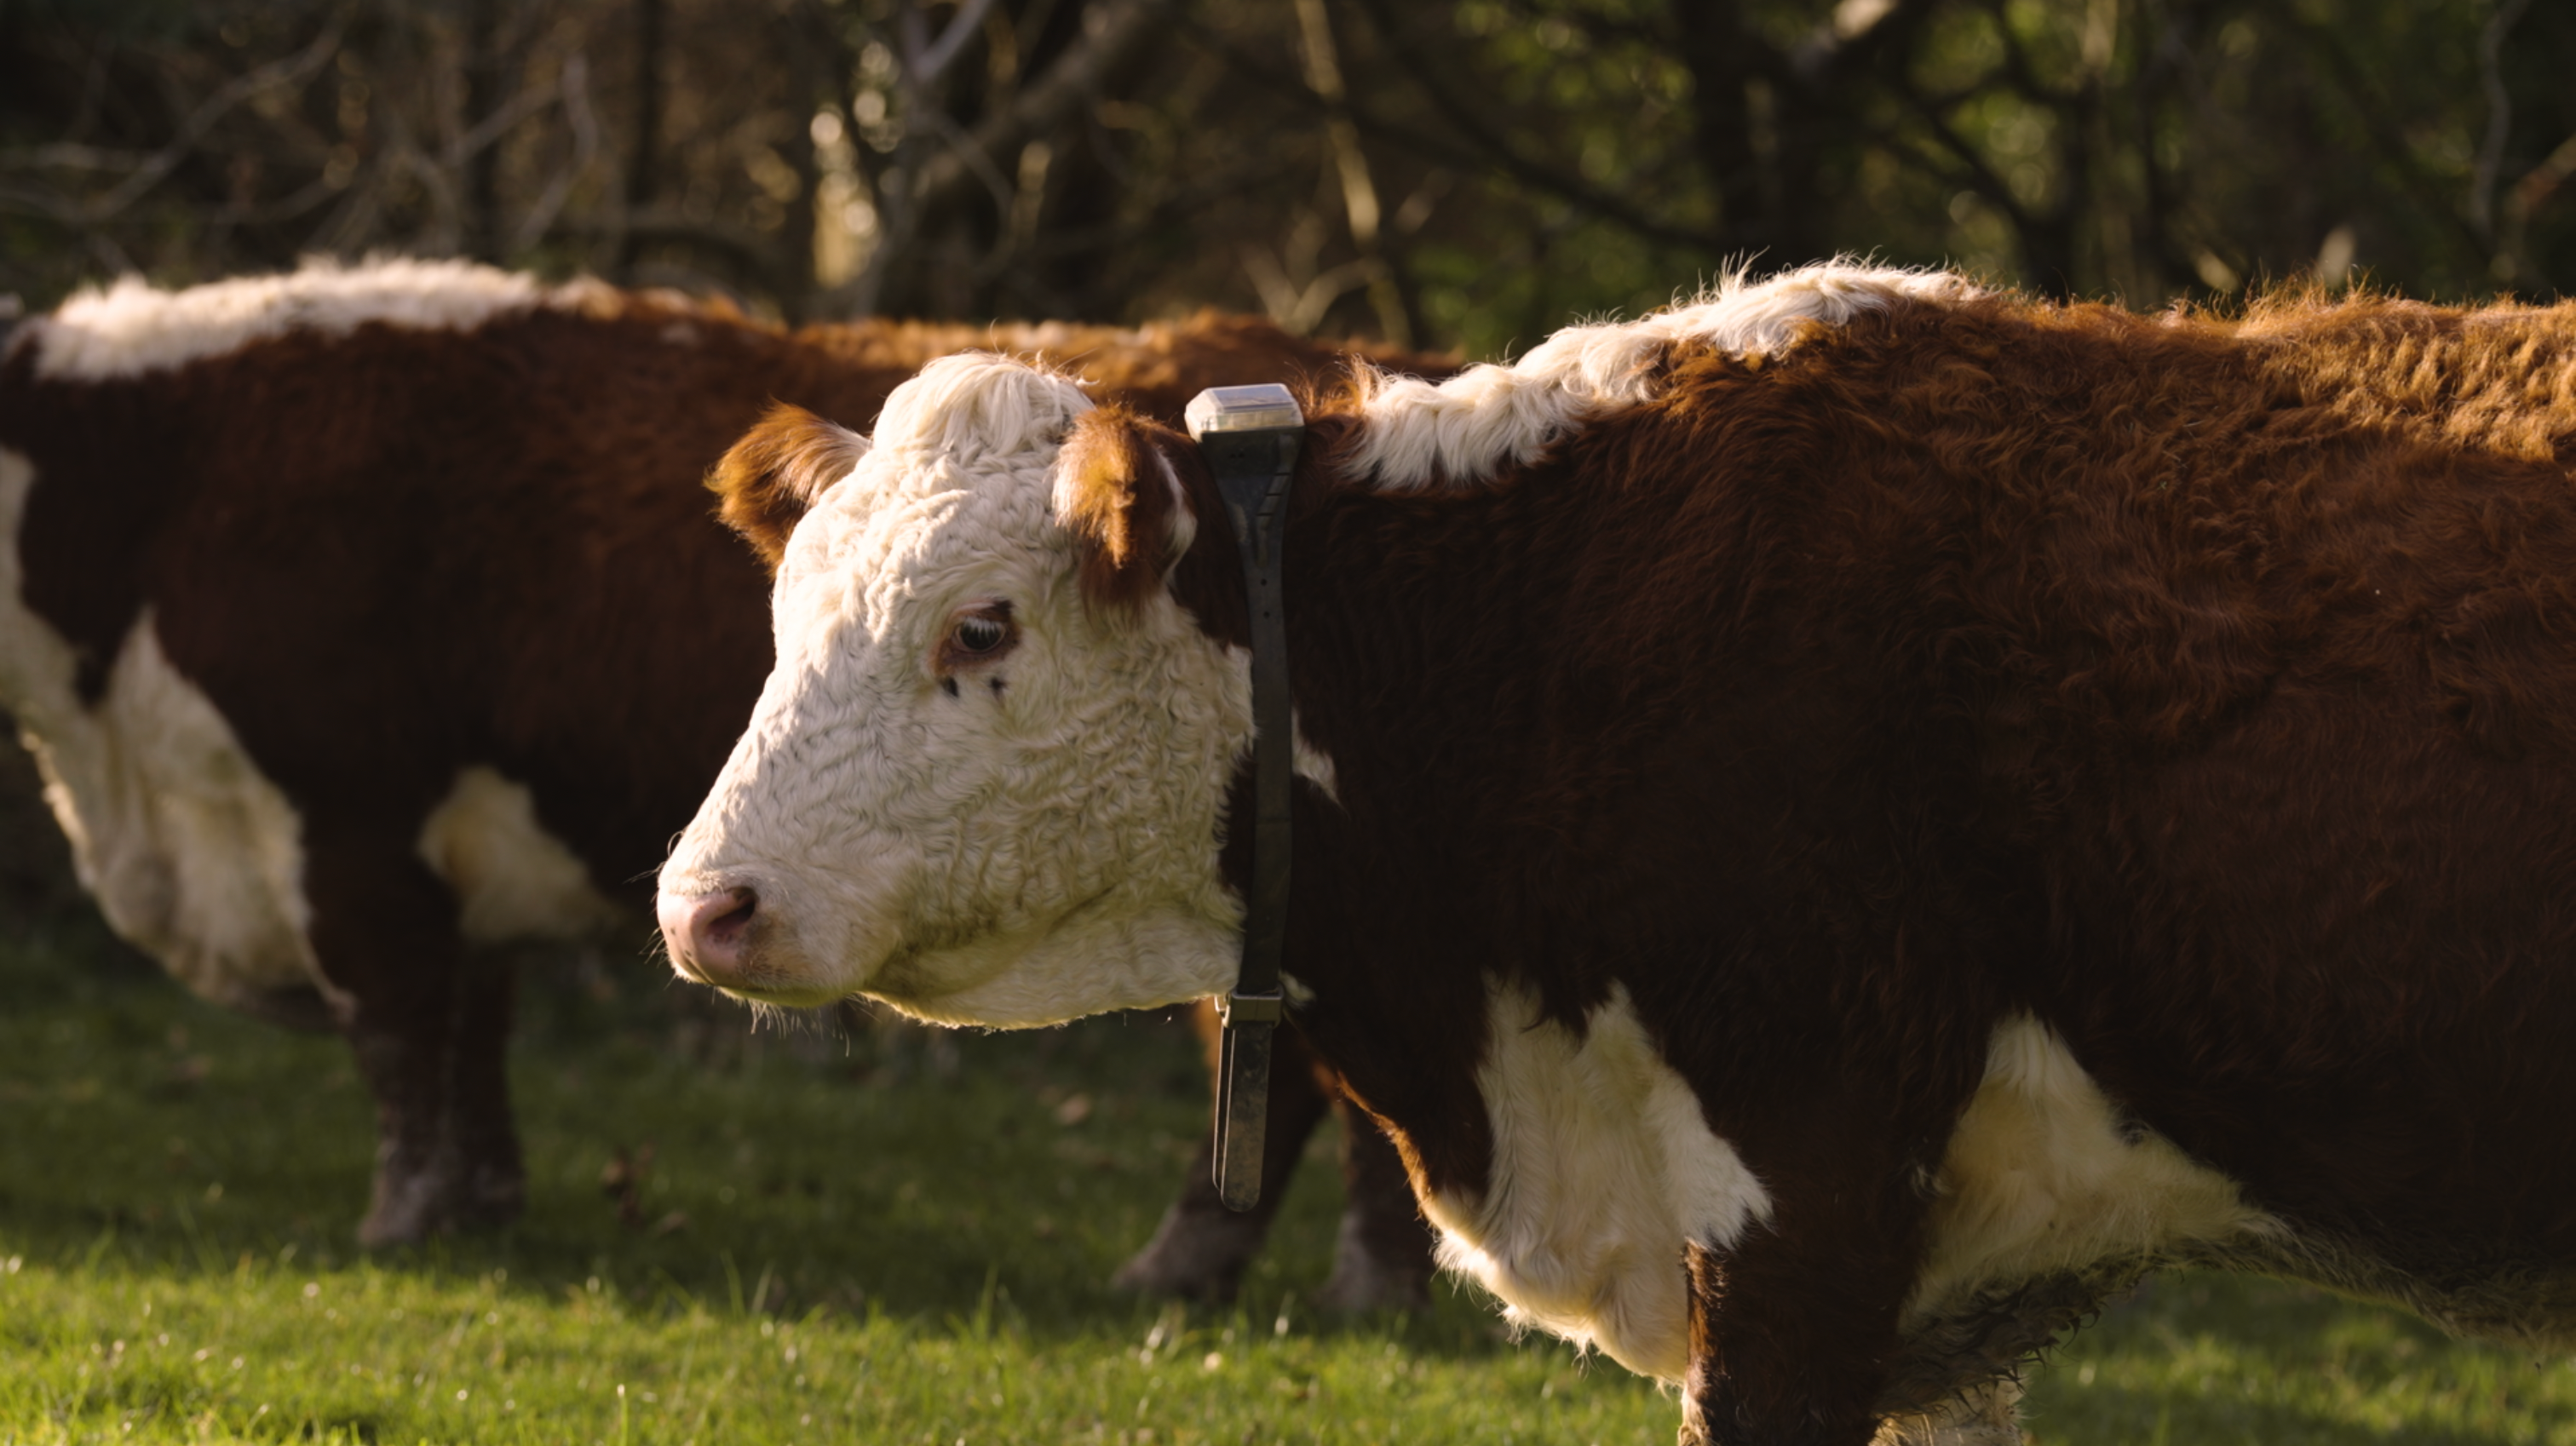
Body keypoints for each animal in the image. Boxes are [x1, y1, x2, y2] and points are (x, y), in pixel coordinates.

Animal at [0, 257, 1441, 1308]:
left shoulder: (346, 818)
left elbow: (401, 1030)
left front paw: (402, 1222)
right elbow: (471, 1028)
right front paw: (482, 1205)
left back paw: (1341, 1283)